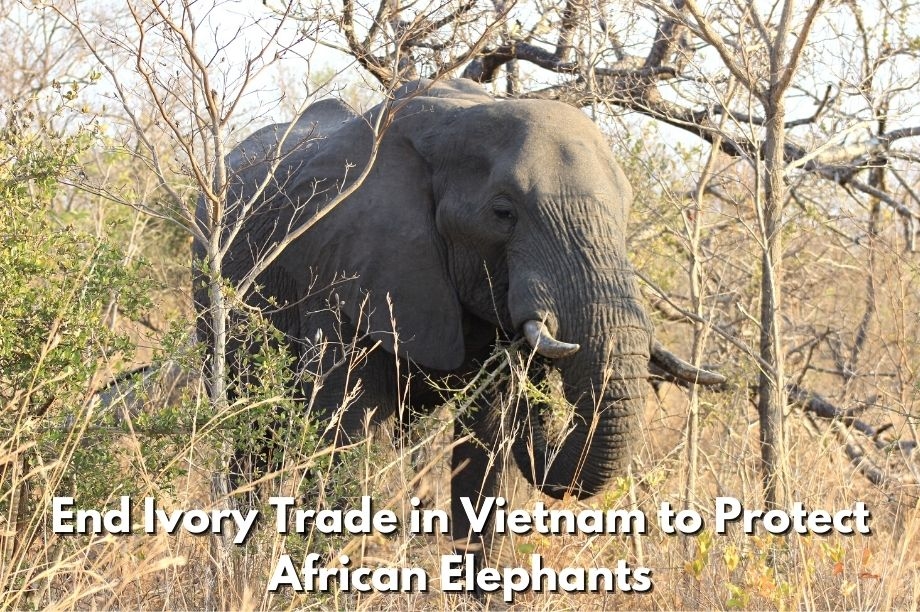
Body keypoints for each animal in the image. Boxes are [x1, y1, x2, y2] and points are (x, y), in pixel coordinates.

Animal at [193, 78, 720, 561]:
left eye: (625, 211)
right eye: (503, 213)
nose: (537, 344)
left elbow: (487, 446)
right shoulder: (336, 266)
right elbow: (340, 428)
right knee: (251, 433)